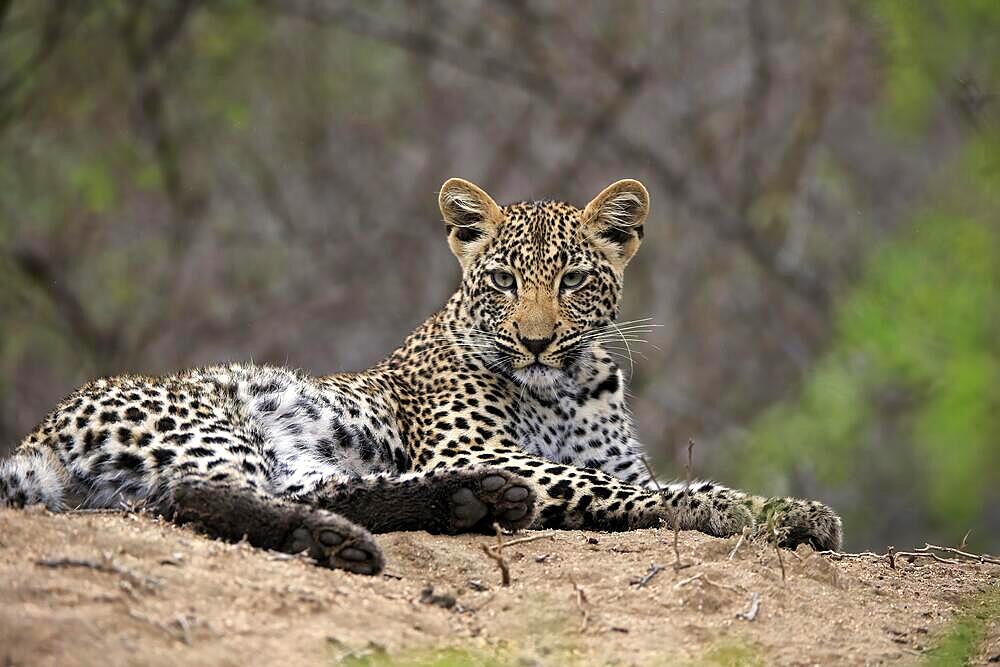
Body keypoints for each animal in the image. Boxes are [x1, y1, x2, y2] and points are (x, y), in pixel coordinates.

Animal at [0, 177, 840, 576]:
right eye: (503, 279)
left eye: (572, 280)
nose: (536, 341)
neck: (570, 384)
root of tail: (40, 434)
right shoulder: (478, 444)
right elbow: (623, 488)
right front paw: (742, 510)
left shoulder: (599, 452)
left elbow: (641, 477)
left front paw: (789, 512)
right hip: (209, 421)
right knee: (190, 498)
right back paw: (346, 538)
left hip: (294, 455)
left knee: (321, 490)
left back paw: (467, 504)